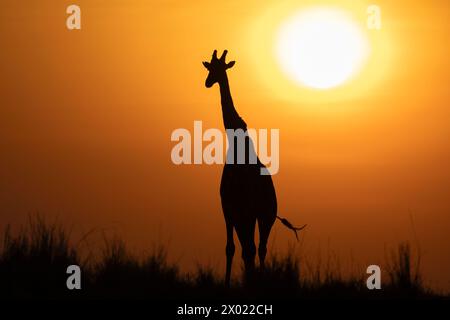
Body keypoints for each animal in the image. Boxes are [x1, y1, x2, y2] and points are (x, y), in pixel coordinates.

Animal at [203, 50, 306, 284]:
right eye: (209, 67)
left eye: (221, 68)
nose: (207, 82)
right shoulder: (232, 209)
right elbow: (234, 248)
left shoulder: (238, 209)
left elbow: (239, 249)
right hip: (255, 216)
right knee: (253, 248)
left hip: (262, 215)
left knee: (256, 248)